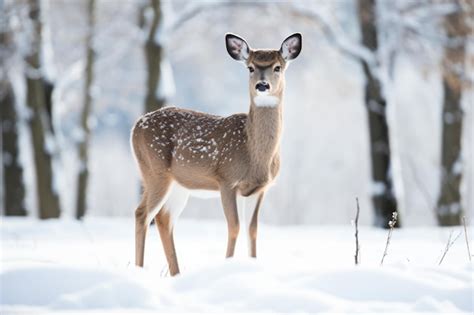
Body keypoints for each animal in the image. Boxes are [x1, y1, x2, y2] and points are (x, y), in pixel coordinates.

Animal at [131, 32, 300, 276]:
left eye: (278, 67)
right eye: (250, 67)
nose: (262, 85)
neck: (253, 153)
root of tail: (136, 125)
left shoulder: (260, 189)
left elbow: (252, 230)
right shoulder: (226, 179)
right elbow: (234, 227)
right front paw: (227, 266)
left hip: (179, 184)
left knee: (164, 218)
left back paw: (176, 274)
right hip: (154, 170)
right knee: (142, 213)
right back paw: (139, 270)